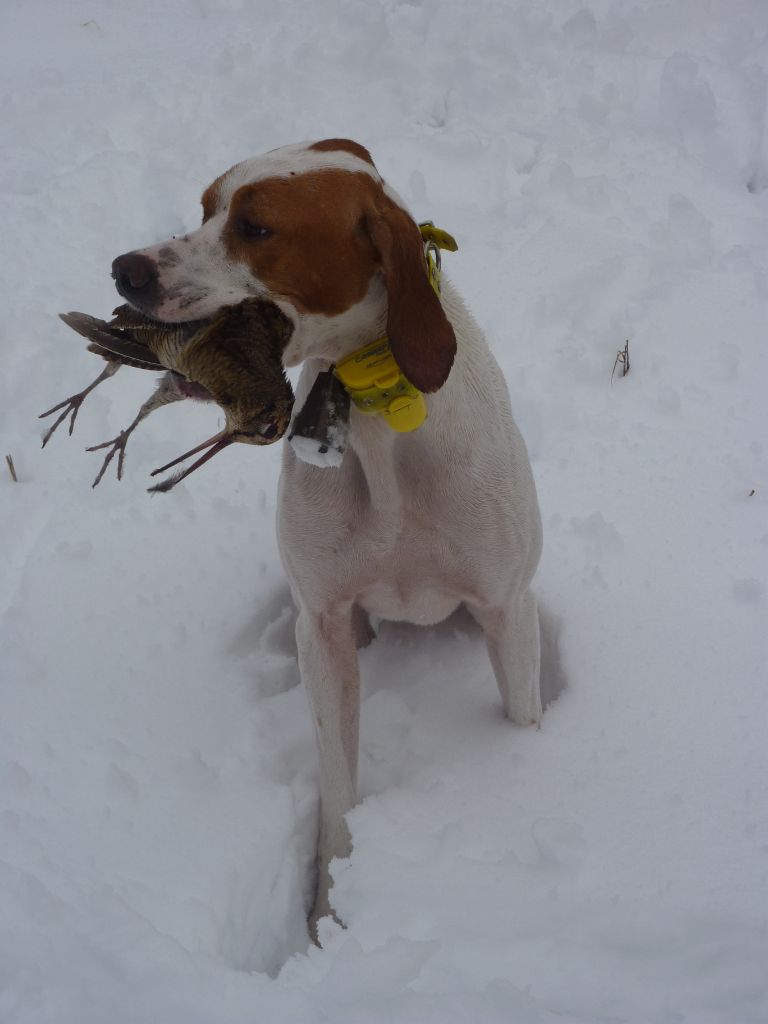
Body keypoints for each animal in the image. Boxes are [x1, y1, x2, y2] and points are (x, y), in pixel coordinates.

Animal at [112, 138, 548, 937]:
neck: (378, 413)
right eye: (205, 208)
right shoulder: (321, 625)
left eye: (256, 228)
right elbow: (338, 794)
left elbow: (521, 714)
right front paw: (329, 917)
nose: (125, 269)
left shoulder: (507, 608)